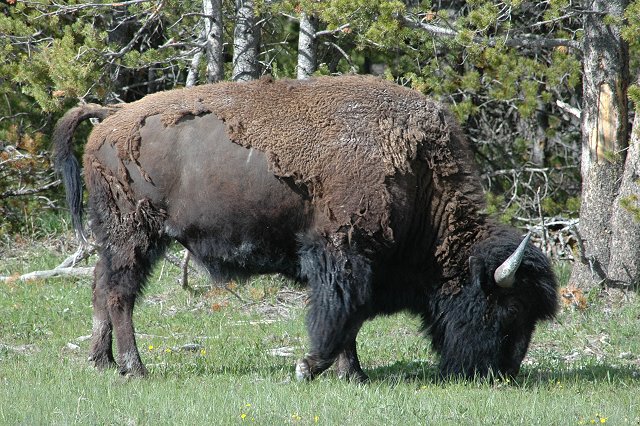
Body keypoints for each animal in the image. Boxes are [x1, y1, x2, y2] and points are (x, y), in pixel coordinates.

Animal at [53, 75, 558, 381]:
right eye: (511, 309)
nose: (503, 373)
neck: (417, 172)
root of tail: (110, 117)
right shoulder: (342, 255)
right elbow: (339, 315)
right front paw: (310, 367)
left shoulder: (354, 262)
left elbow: (351, 321)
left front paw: (352, 374)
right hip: (135, 235)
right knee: (120, 295)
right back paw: (134, 368)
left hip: (118, 239)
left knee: (101, 286)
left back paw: (101, 362)